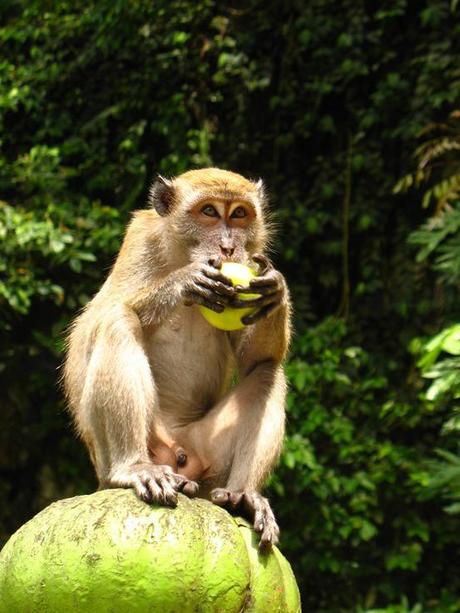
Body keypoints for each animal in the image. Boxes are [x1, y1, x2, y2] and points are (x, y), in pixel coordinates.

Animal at [63, 167, 292, 548]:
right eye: (209, 212)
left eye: (239, 214)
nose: (229, 247)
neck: (183, 253)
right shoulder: (140, 241)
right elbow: (102, 317)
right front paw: (184, 282)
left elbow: (255, 359)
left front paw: (275, 287)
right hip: (126, 454)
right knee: (118, 321)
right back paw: (134, 468)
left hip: (206, 458)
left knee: (267, 371)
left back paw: (243, 495)